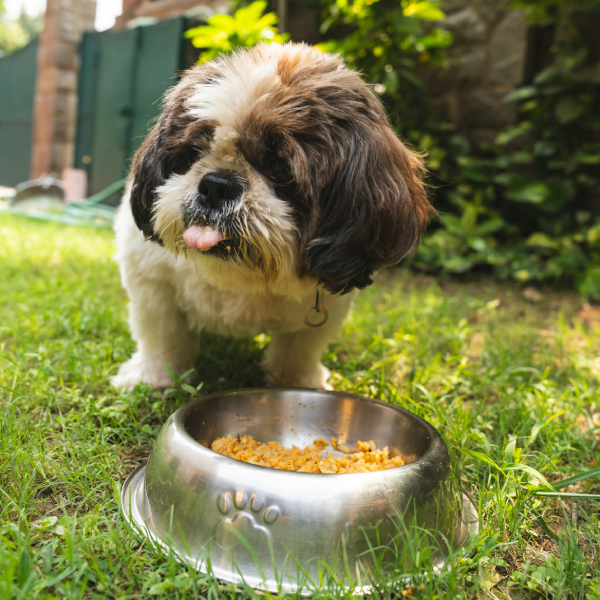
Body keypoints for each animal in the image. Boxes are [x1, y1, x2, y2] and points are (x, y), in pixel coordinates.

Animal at [111, 42, 432, 392]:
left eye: (280, 169)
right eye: (194, 152)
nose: (216, 184)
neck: (246, 278)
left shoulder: (328, 307)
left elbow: (300, 349)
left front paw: (298, 382)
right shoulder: (152, 282)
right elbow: (162, 335)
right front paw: (153, 376)